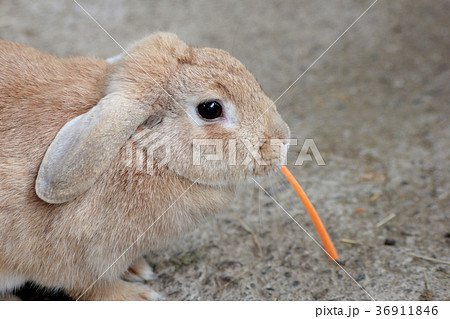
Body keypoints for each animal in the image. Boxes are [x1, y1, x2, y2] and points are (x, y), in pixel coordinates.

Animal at [0, 33, 290, 302]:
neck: (145, 149)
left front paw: (137, 269)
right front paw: (138, 296)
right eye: (210, 108)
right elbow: (93, 287)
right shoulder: (76, 259)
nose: (283, 139)